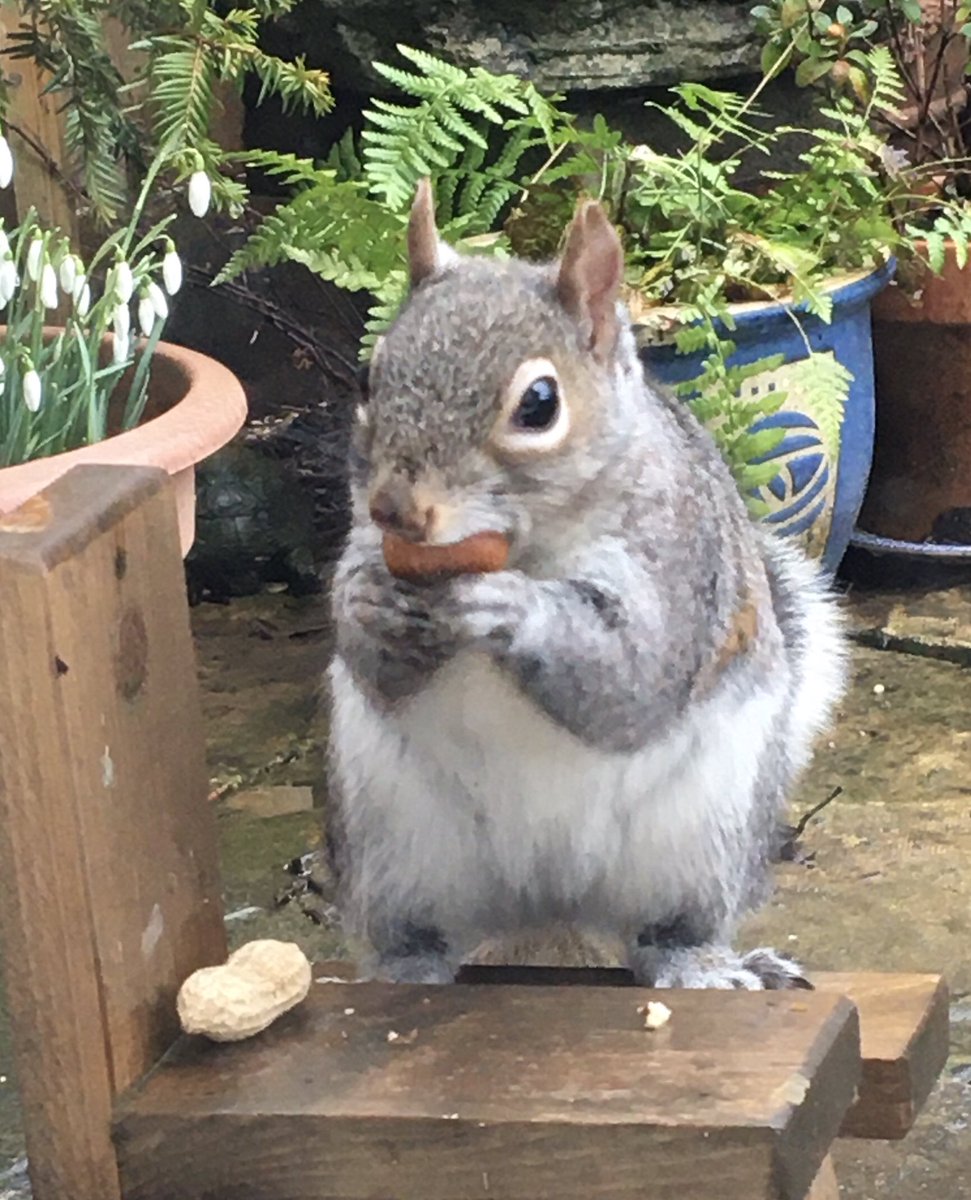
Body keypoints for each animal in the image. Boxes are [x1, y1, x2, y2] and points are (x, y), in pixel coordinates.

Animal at [326, 175, 840, 984]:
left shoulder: (678, 562)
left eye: (539, 405)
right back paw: (405, 968)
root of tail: (549, 908)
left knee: (666, 928)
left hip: (702, 838)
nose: (395, 510)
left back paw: (697, 962)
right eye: (366, 377)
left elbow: (632, 676)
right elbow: (372, 659)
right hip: (391, 841)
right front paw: (366, 601)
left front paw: (511, 608)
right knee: (416, 931)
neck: (527, 547)